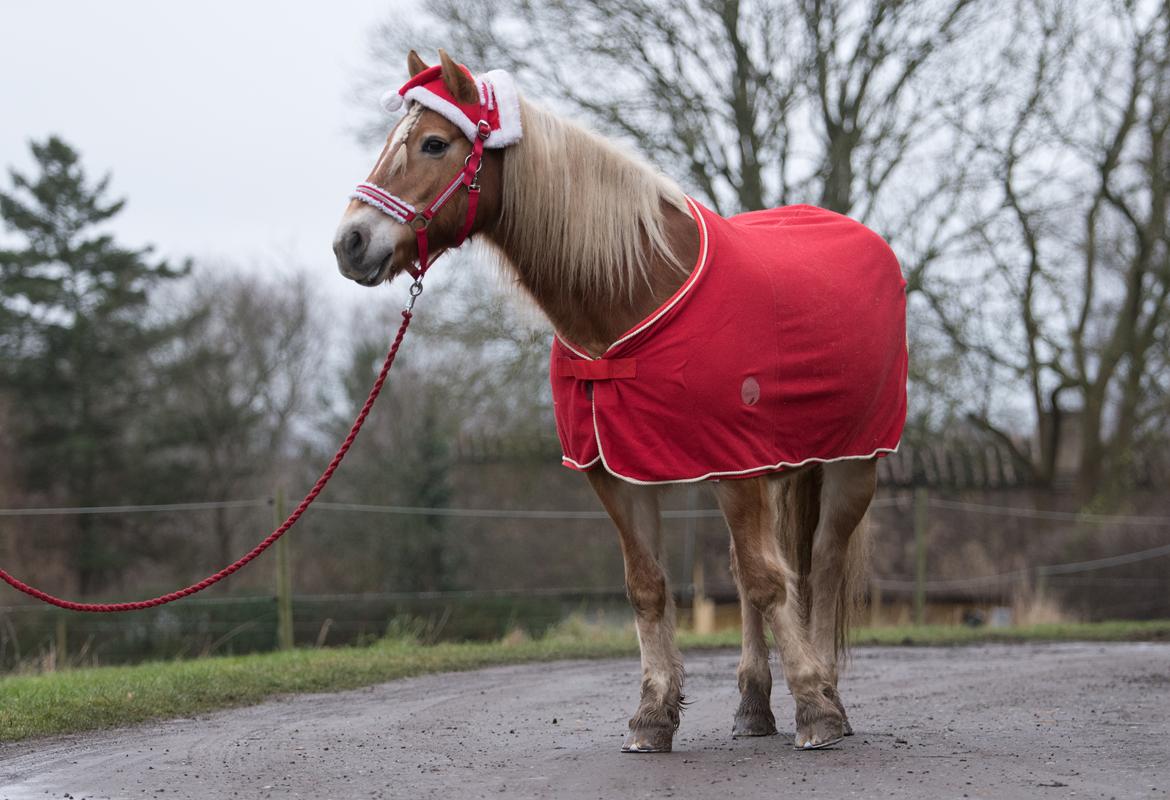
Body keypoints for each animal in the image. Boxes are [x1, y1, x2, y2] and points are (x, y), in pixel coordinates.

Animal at [334, 48, 907, 748]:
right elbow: (649, 586)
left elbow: (773, 581)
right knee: (747, 573)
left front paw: (815, 707)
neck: (634, 293)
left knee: (819, 567)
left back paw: (827, 695)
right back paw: (753, 705)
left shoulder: (733, 466)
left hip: (851, 464)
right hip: (768, 469)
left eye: (435, 143)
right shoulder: (618, 471)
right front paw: (653, 713)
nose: (350, 243)